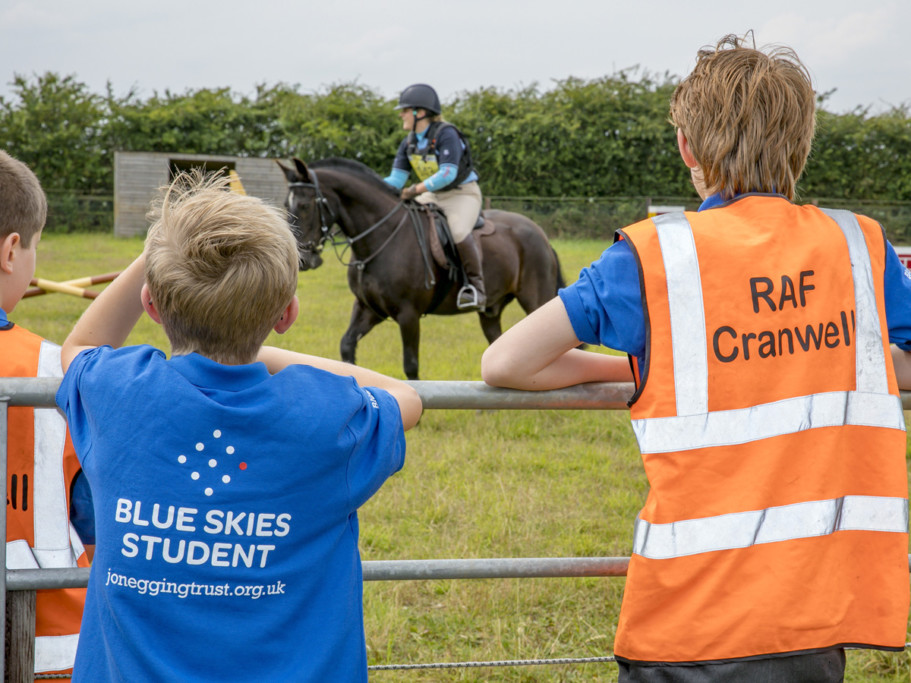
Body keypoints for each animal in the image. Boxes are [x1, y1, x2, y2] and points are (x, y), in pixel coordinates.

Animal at [280, 158, 564, 382]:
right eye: (286, 205)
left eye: (305, 205)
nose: (303, 260)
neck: (381, 237)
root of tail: (539, 233)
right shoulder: (369, 309)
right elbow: (347, 346)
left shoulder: (409, 314)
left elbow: (411, 366)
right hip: (490, 312)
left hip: (537, 302)